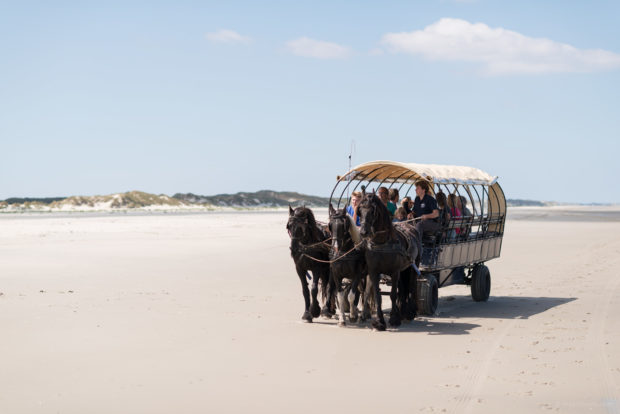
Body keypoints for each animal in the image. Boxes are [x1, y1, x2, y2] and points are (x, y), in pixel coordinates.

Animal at [354, 192, 422, 332]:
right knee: (403, 289)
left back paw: (410, 312)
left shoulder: (395, 272)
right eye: (360, 210)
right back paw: (402, 311)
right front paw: (380, 322)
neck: (382, 243)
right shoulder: (374, 272)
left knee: (411, 286)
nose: (363, 232)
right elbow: (378, 296)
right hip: (403, 270)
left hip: (413, 265)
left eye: (373, 211)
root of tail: (411, 227)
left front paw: (394, 319)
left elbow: (393, 295)